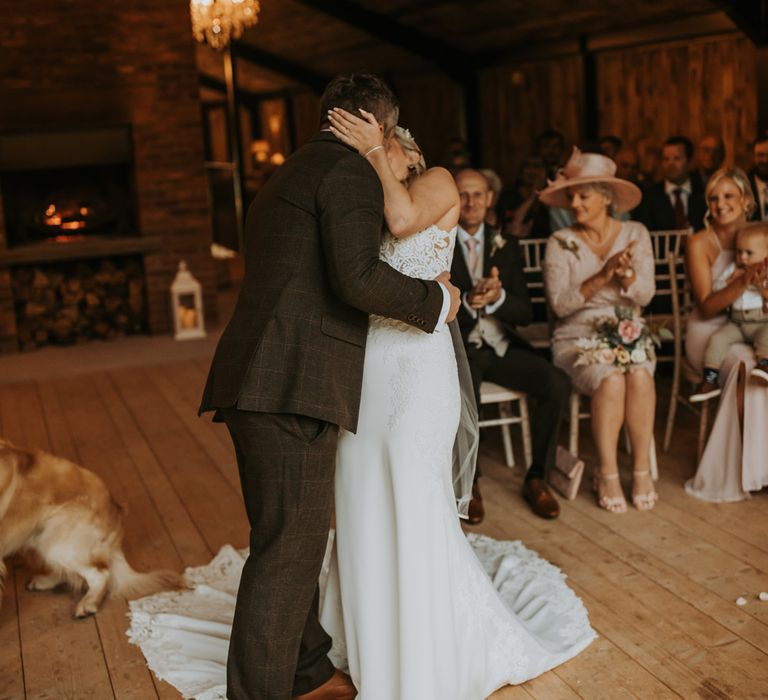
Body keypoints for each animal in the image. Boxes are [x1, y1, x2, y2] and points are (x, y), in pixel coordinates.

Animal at [0, 438, 181, 616]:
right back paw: (43, 581)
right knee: (73, 574)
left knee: (99, 574)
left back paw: (88, 602)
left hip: (56, 542)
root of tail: (116, 511)